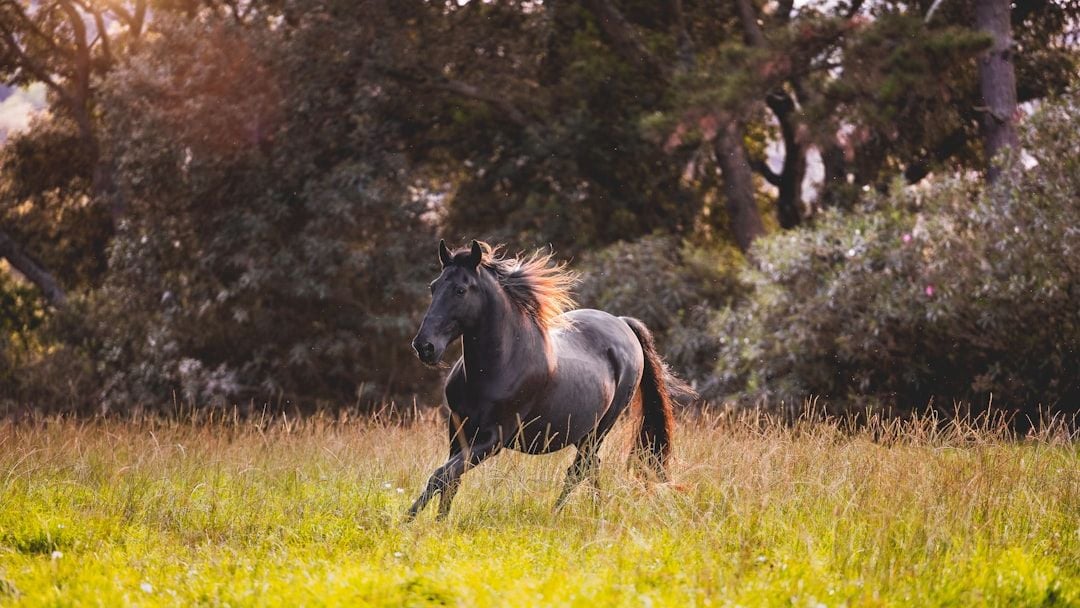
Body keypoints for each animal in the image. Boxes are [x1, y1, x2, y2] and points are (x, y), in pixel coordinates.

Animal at [406, 239, 688, 520]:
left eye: (460, 290)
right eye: (433, 287)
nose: (425, 347)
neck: (498, 367)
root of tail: (623, 323)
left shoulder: (492, 439)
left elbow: (440, 475)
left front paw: (407, 522)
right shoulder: (458, 431)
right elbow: (450, 481)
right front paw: (438, 522)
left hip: (601, 427)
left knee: (580, 469)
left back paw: (558, 514)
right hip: (585, 431)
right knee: (591, 466)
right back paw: (596, 512)